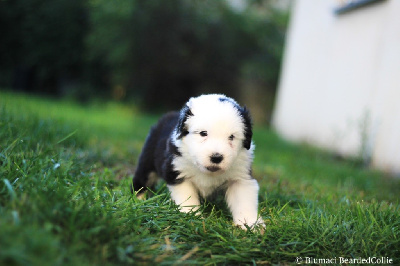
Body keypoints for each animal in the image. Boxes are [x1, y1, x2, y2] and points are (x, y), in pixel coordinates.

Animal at [130, 94, 262, 229]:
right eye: (203, 133)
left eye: (231, 137)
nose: (216, 157)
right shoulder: (179, 172)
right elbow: (187, 197)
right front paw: (191, 216)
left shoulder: (240, 176)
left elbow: (244, 200)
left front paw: (251, 224)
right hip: (148, 160)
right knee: (143, 178)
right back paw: (139, 199)